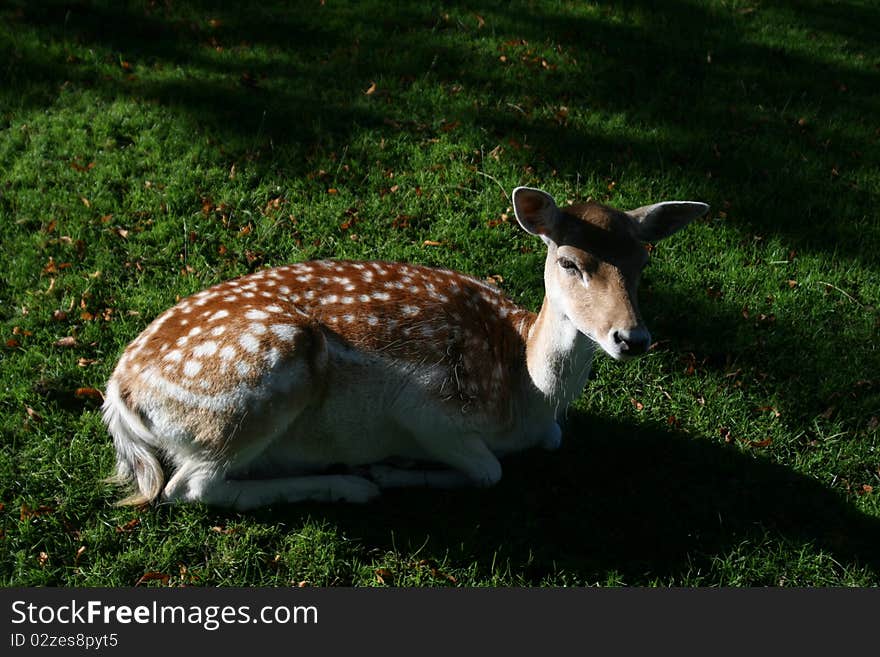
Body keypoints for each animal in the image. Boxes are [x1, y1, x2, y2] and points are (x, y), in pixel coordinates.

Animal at [103, 184, 708, 508]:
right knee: (189, 486)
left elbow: (549, 443)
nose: (632, 338)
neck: (527, 394)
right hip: (254, 383)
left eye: (642, 260)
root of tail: (118, 392)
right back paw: (350, 484)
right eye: (569, 262)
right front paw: (393, 471)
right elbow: (490, 469)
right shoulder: (426, 405)